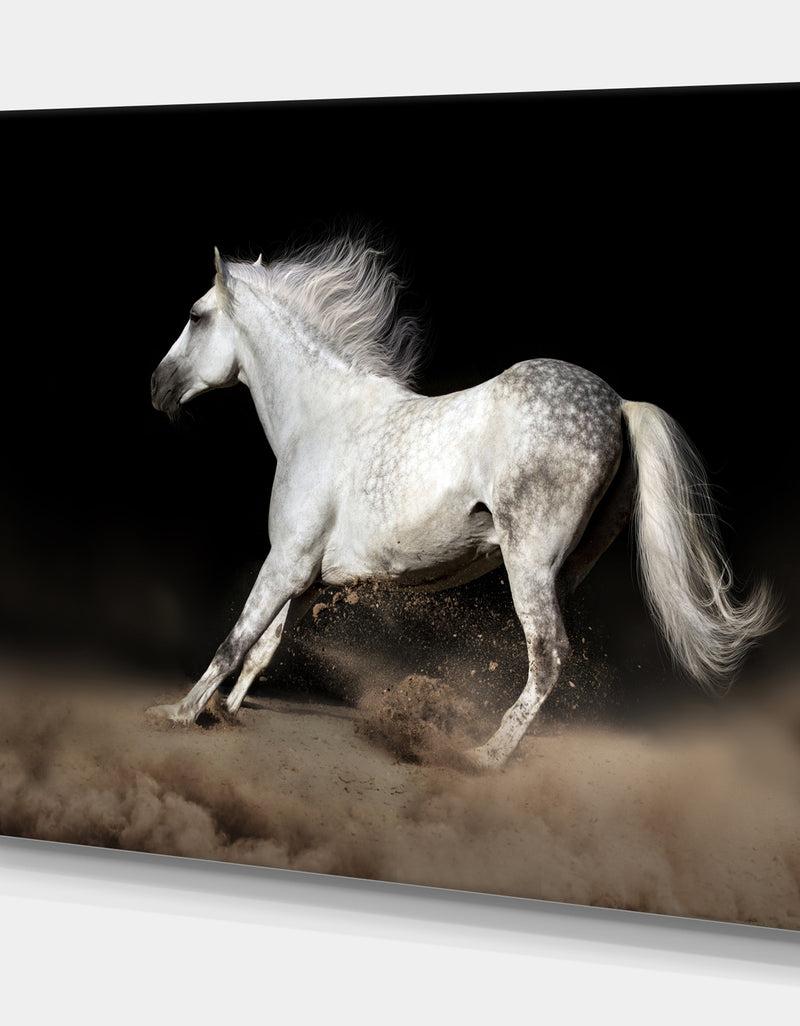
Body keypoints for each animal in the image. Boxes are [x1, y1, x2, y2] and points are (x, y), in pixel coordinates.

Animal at [149, 235, 777, 768]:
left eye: (196, 316)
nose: (157, 387)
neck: (318, 419)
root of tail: (621, 404)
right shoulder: (308, 578)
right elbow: (264, 646)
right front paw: (228, 711)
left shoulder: (286, 561)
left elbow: (235, 639)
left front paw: (180, 713)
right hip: (566, 569)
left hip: (529, 563)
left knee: (548, 655)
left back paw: (483, 757)